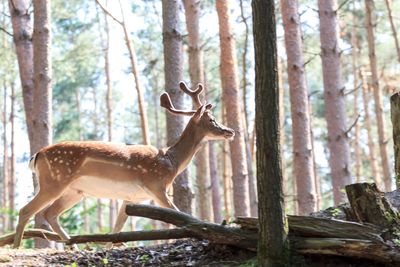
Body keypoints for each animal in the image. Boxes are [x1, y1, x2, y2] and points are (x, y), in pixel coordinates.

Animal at [13, 82, 234, 249]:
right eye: (212, 119)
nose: (230, 131)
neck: (172, 162)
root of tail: (37, 155)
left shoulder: (130, 198)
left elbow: (117, 227)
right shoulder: (156, 186)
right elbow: (179, 213)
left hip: (74, 191)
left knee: (50, 214)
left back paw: (73, 244)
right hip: (54, 181)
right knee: (26, 210)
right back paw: (16, 246)